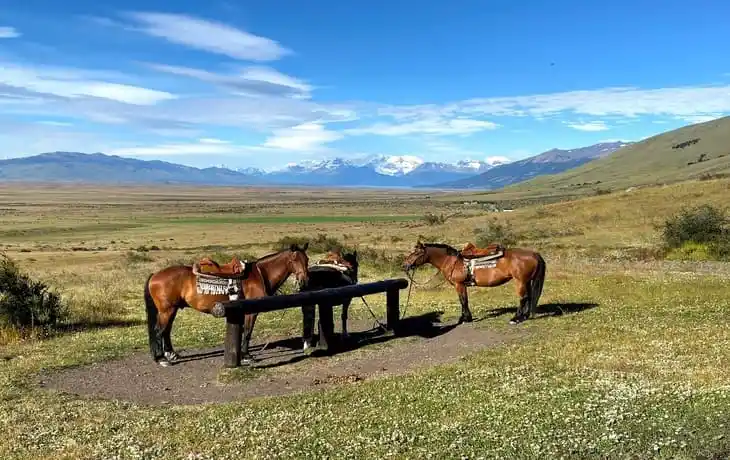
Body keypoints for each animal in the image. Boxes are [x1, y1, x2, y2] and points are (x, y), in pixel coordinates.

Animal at [143, 243, 310, 367]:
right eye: (294, 260)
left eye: (307, 259)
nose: (304, 281)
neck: (261, 274)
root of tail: (155, 275)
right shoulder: (251, 312)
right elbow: (248, 332)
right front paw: (246, 356)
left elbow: (243, 331)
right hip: (167, 310)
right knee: (159, 331)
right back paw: (161, 359)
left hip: (172, 309)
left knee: (166, 331)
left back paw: (171, 354)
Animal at [403, 240, 546, 325]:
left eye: (416, 253)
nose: (405, 265)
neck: (452, 261)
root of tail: (534, 254)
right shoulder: (461, 286)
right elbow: (463, 300)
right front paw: (465, 318)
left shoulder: (459, 285)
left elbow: (463, 301)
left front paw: (465, 319)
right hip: (527, 281)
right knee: (529, 297)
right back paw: (525, 316)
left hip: (520, 281)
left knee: (523, 298)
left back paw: (515, 319)